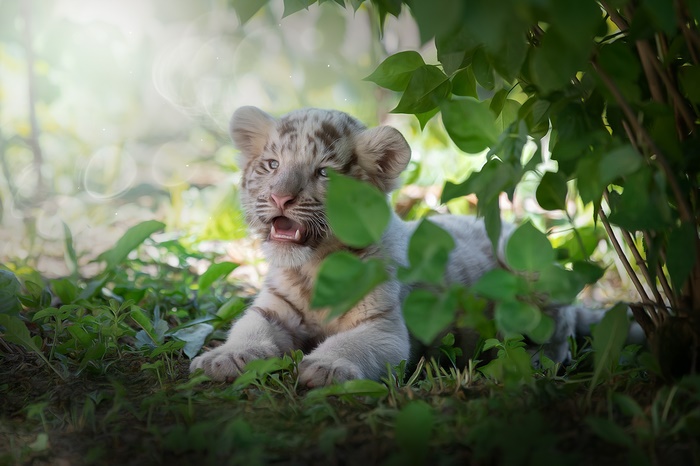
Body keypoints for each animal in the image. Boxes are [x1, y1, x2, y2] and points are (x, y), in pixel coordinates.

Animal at [189, 106, 604, 386]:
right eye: (273, 165)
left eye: (324, 172)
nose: (280, 198)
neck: (314, 267)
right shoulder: (272, 309)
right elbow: (248, 329)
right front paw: (221, 359)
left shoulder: (383, 328)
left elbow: (353, 346)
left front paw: (326, 368)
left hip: (536, 277)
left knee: (557, 339)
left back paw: (526, 362)